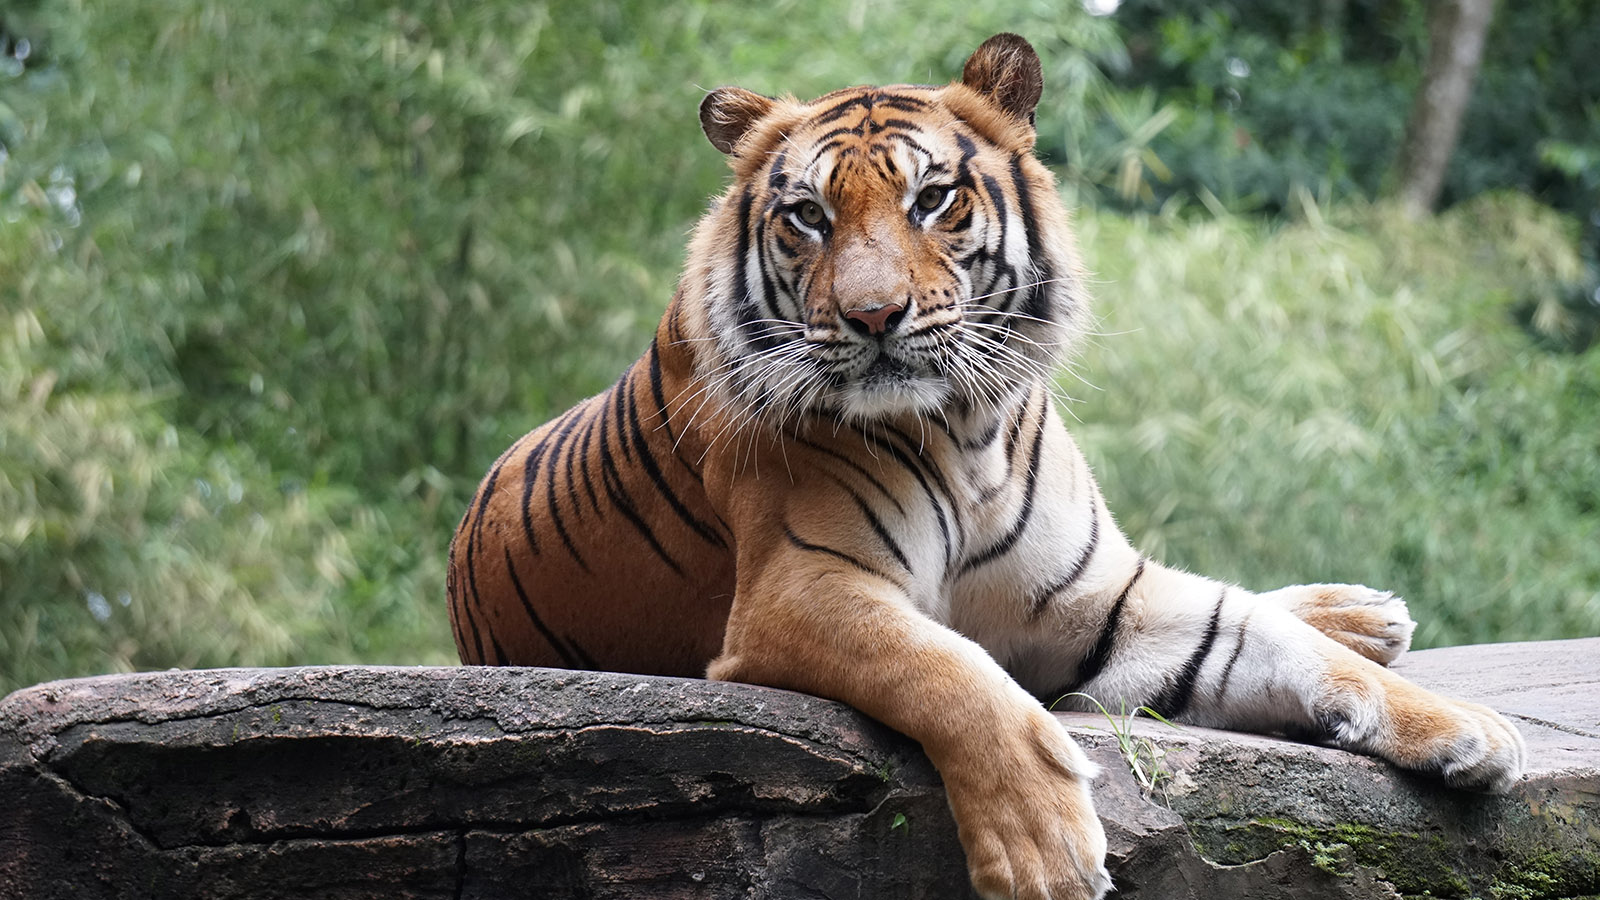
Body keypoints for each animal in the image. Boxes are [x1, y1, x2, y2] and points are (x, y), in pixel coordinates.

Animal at [447, 33, 1526, 900]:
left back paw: (1363, 614)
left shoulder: (1101, 602)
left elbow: (1276, 646)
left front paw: (1471, 731)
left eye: (932, 200)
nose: (872, 316)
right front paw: (1044, 851)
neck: (963, 431)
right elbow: (947, 668)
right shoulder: (801, 590)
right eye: (807, 216)